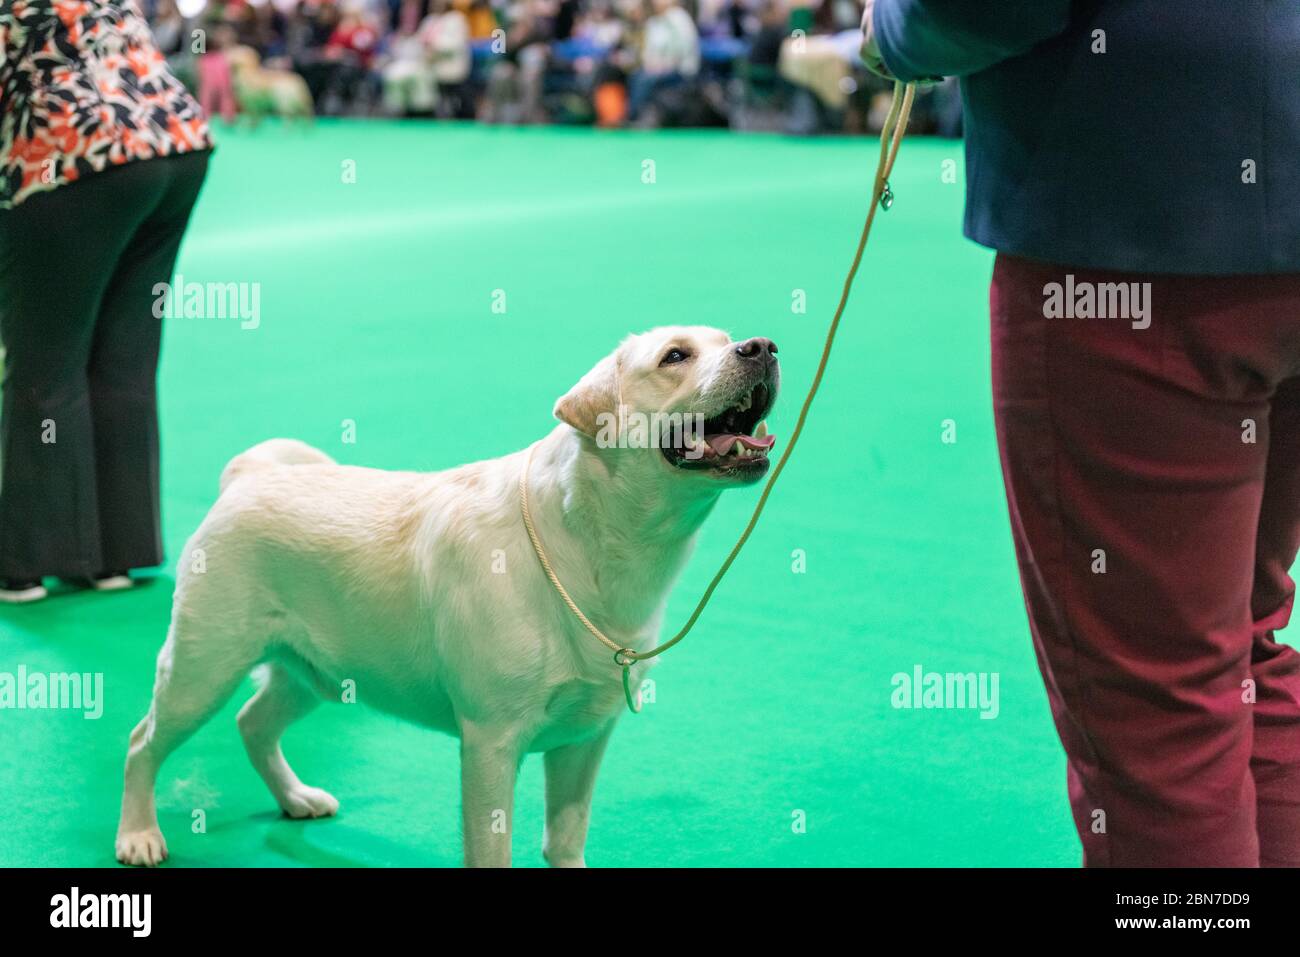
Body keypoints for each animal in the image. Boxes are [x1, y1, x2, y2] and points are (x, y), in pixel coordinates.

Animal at [116, 327, 774, 868]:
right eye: (675, 357)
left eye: (727, 339)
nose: (763, 347)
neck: (597, 540)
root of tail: (247, 477)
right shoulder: (490, 742)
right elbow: (492, 851)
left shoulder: (585, 738)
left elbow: (565, 840)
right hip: (203, 668)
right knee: (142, 742)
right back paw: (139, 837)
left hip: (317, 673)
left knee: (253, 722)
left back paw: (297, 797)